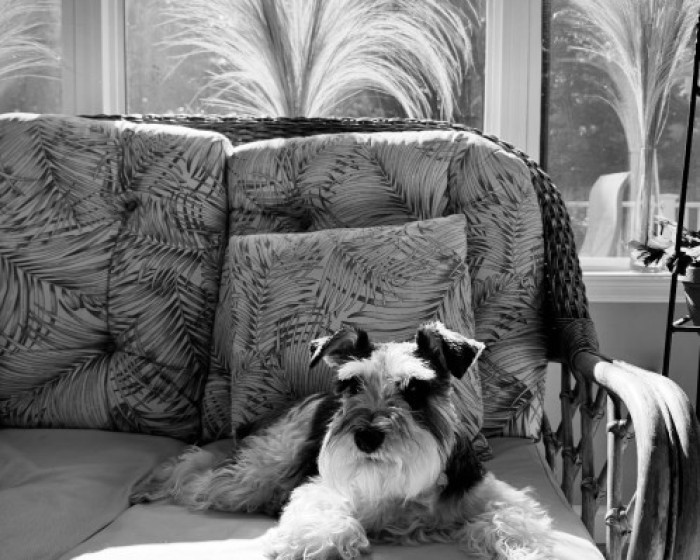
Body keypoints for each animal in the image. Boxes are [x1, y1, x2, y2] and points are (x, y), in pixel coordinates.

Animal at [130, 322, 552, 559]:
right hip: (254, 473)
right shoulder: (323, 488)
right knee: (196, 473)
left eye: (415, 388)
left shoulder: (492, 493)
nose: (366, 437)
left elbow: (514, 518)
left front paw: (522, 549)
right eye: (351, 384)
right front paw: (311, 543)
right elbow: (323, 515)